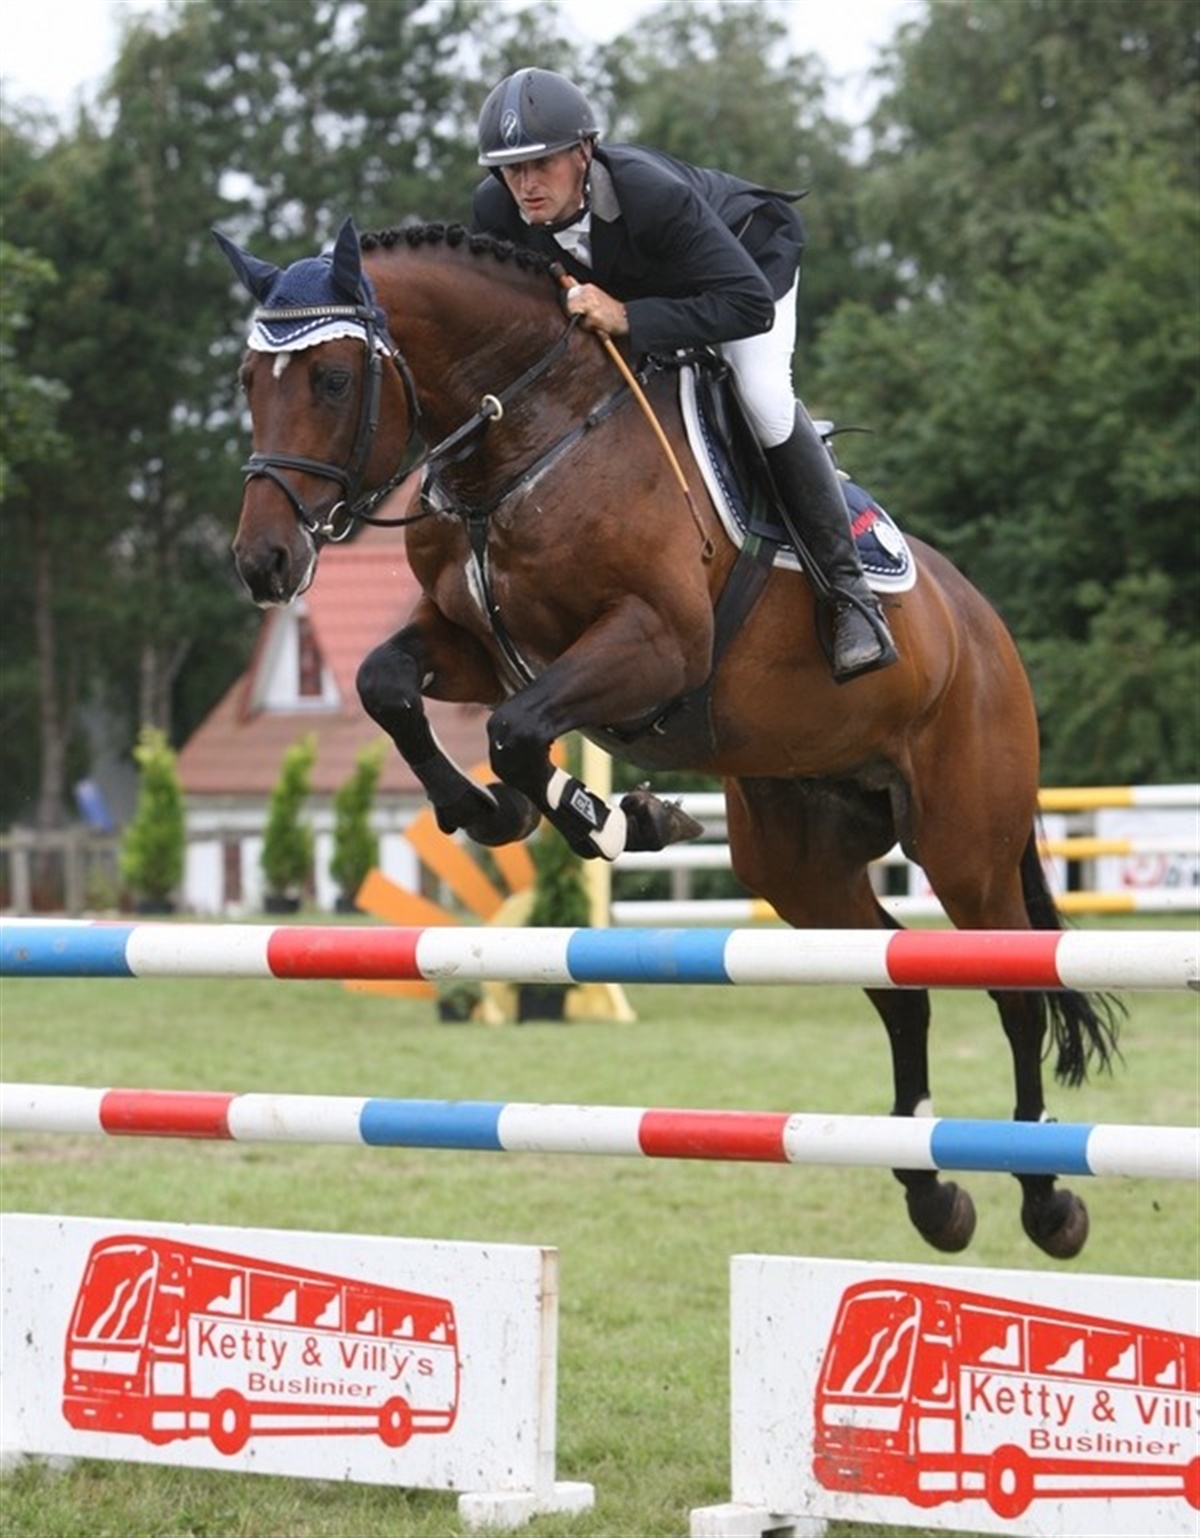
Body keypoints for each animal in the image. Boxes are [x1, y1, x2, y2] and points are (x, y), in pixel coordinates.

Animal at [216, 216, 1119, 1260]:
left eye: (329, 380)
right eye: (249, 379)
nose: (263, 562)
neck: (524, 436)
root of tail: (985, 631)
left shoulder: (654, 644)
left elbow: (516, 732)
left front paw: (615, 819)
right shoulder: (477, 645)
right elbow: (387, 686)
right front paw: (490, 812)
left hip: (964, 844)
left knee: (1014, 987)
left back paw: (1046, 1197)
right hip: (798, 862)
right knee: (895, 982)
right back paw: (932, 1191)